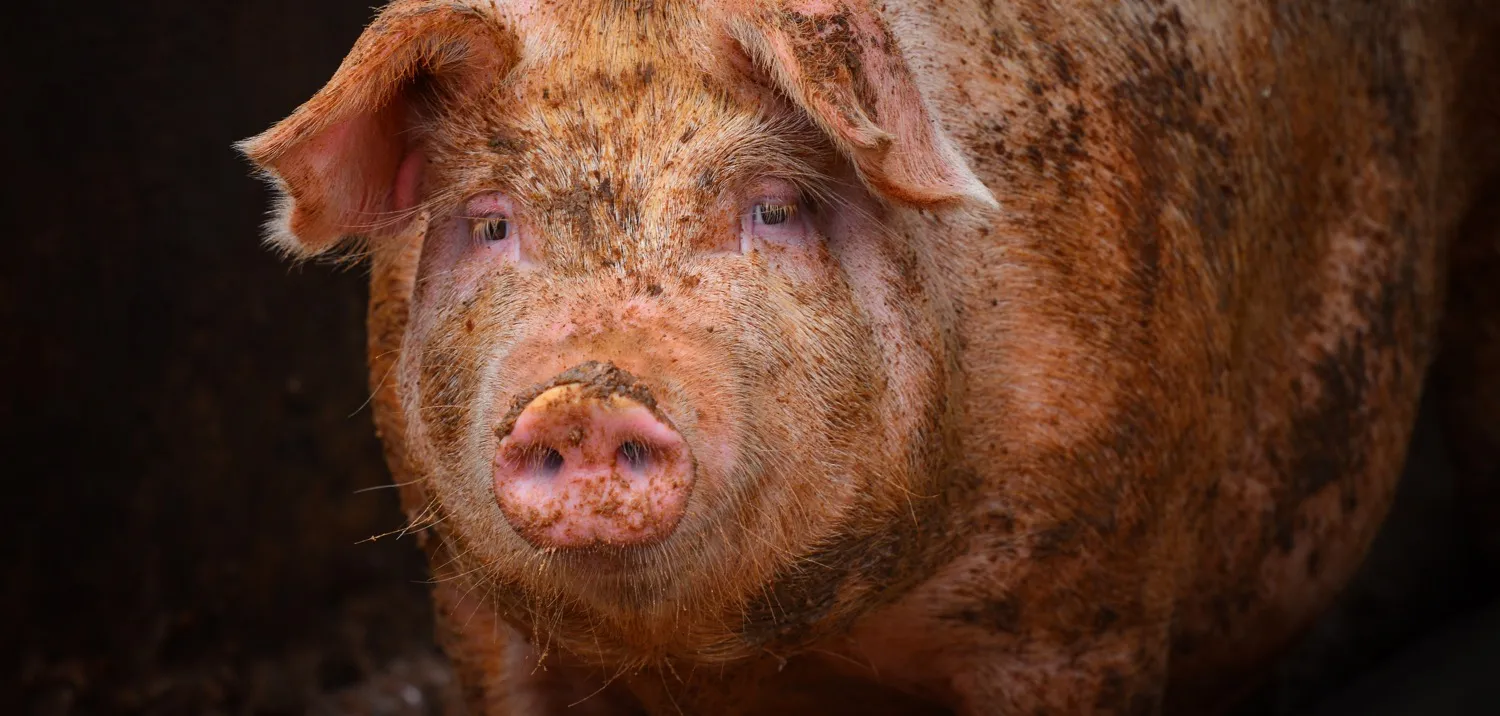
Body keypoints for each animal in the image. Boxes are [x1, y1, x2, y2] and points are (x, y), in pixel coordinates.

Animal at [238, 0, 1500, 713]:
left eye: (775, 207)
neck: (761, 662)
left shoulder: (1082, 612)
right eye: (492, 221)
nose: (584, 394)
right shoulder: (471, 607)